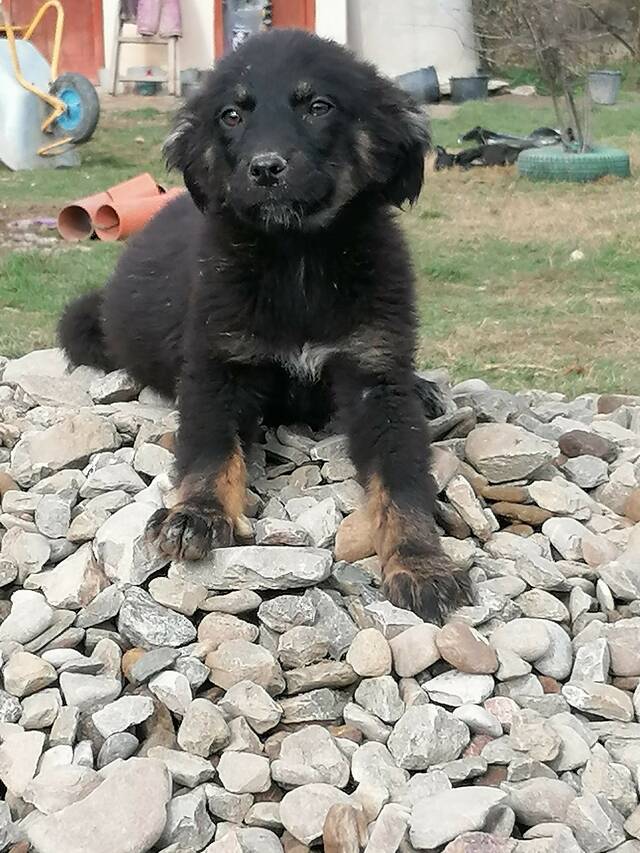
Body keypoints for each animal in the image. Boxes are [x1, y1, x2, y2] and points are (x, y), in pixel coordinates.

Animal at [58, 28, 470, 620]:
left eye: (318, 107)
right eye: (231, 116)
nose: (266, 168)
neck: (297, 260)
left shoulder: (376, 375)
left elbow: (403, 477)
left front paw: (420, 564)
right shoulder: (217, 365)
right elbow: (211, 448)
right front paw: (198, 513)